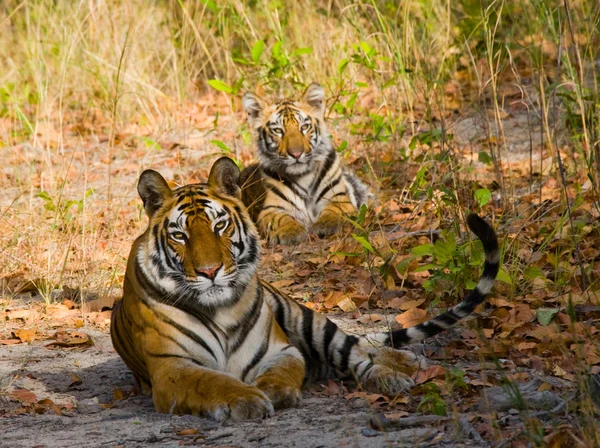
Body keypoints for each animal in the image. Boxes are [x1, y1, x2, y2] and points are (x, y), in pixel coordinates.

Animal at [109, 157, 502, 420]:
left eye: (219, 225)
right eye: (180, 236)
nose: (209, 271)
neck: (218, 310)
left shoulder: (281, 350)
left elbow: (281, 373)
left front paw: (270, 392)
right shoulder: (171, 369)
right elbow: (213, 382)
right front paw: (246, 400)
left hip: (306, 319)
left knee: (356, 350)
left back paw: (399, 372)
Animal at [239, 84, 370, 245]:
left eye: (304, 127)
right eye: (278, 130)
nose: (296, 154)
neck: (304, 176)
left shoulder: (338, 197)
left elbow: (334, 210)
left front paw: (326, 224)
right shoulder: (271, 208)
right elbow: (280, 220)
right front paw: (291, 231)